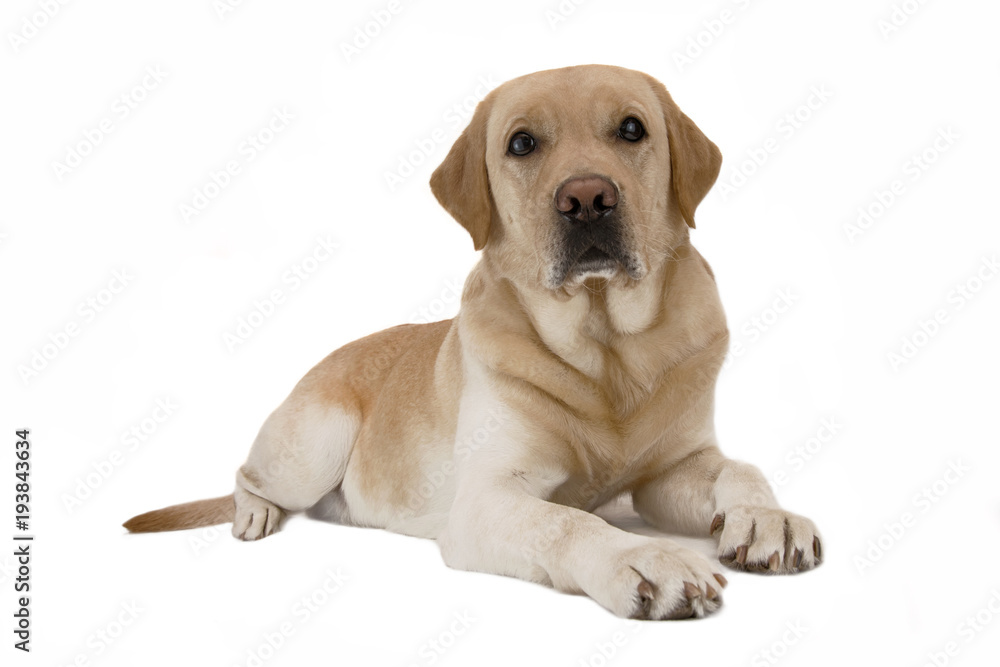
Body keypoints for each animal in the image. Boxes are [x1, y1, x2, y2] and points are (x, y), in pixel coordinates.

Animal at [125, 64, 820, 620]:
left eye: (631, 129)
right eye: (522, 143)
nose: (588, 198)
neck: (604, 352)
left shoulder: (671, 469)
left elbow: (739, 467)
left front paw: (769, 518)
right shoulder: (487, 499)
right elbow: (567, 519)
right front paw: (645, 557)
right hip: (313, 445)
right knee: (247, 477)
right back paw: (255, 512)